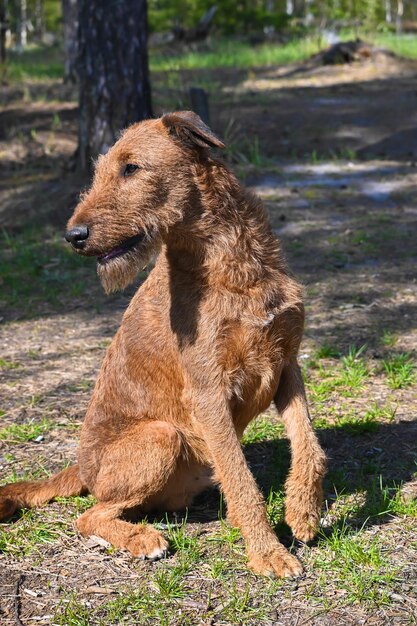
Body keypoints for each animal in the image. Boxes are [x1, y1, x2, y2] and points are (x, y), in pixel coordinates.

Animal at [0, 112, 324, 576]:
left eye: (131, 168)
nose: (73, 235)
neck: (230, 265)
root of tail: (80, 468)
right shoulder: (209, 392)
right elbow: (243, 482)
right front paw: (268, 553)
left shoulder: (286, 364)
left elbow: (308, 443)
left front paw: (303, 510)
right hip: (161, 436)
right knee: (90, 515)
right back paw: (143, 539)